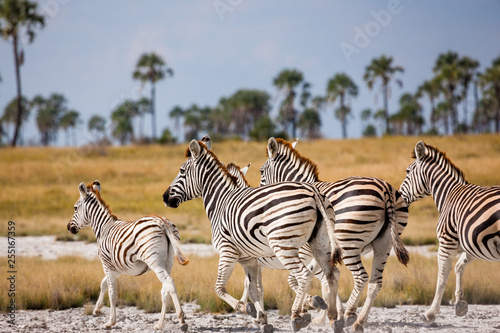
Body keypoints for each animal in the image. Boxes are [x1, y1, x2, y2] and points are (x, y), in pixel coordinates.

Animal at [67, 180, 188, 330]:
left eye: (75, 208)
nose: (69, 227)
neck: (103, 228)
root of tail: (162, 222)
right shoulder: (118, 268)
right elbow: (103, 284)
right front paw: (97, 309)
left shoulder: (106, 264)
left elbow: (112, 292)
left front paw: (110, 322)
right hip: (168, 261)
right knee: (165, 289)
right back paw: (160, 324)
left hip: (154, 261)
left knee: (169, 283)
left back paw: (182, 321)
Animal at [162, 139, 346, 332]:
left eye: (182, 171)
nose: (165, 197)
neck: (221, 202)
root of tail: (314, 192)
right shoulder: (249, 259)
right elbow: (254, 289)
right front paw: (262, 319)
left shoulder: (227, 251)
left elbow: (219, 288)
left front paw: (246, 309)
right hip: (321, 244)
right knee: (332, 276)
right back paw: (335, 318)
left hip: (285, 246)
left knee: (304, 276)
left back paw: (299, 316)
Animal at [258, 137, 410, 330]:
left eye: (261, 171)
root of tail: (386, 190)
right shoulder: (321, 251)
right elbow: (327, 279)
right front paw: (326, 312)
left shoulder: (307, 249)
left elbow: (301, 279)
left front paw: (317, 309)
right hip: (385, 244)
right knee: (376, 282)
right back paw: (359, 322)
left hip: (348, 242)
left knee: (361, 277)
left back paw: (350, 314)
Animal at [400, 140, 500, 322]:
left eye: (407, 171)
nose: (398, 195)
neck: (448, 194)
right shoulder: (473, 243)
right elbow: (459, 266)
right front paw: (459, 302)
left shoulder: (446, 241)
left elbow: (442, 275)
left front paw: (431, 311)